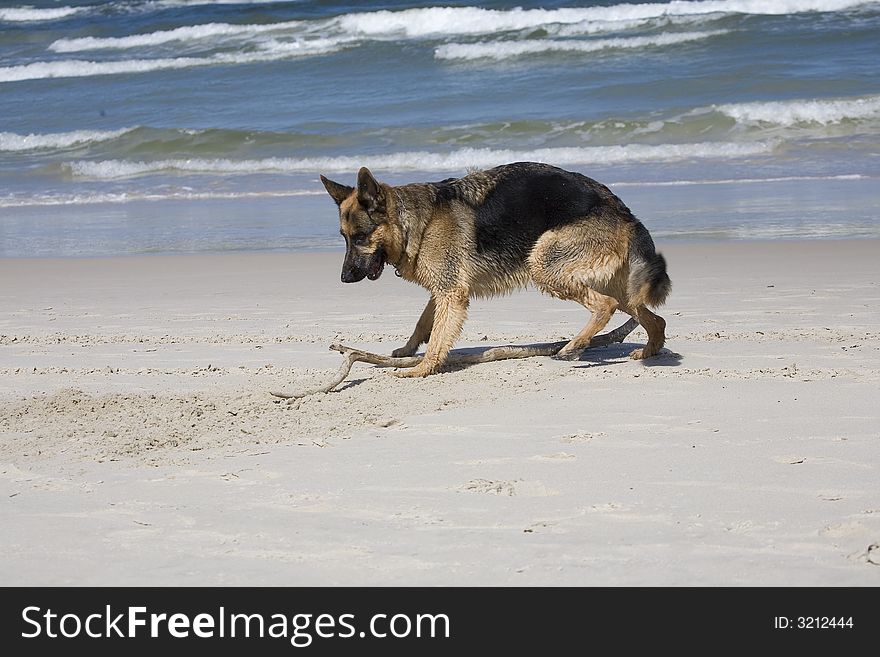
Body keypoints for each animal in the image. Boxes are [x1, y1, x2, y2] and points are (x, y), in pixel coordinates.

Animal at [320, 161, 672, 376]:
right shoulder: (444, 291)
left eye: (361, 237)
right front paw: (408, 350)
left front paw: (422, 368)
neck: (417, 223)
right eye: (344, 237)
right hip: (615, 285)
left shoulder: (451, 294)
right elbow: (424, 324)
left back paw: (575, 345)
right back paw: (649, 350)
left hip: (543, 264)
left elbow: (438, 336)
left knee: (605, 305)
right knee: (655, 319)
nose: (344, 278)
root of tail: (620, 207)